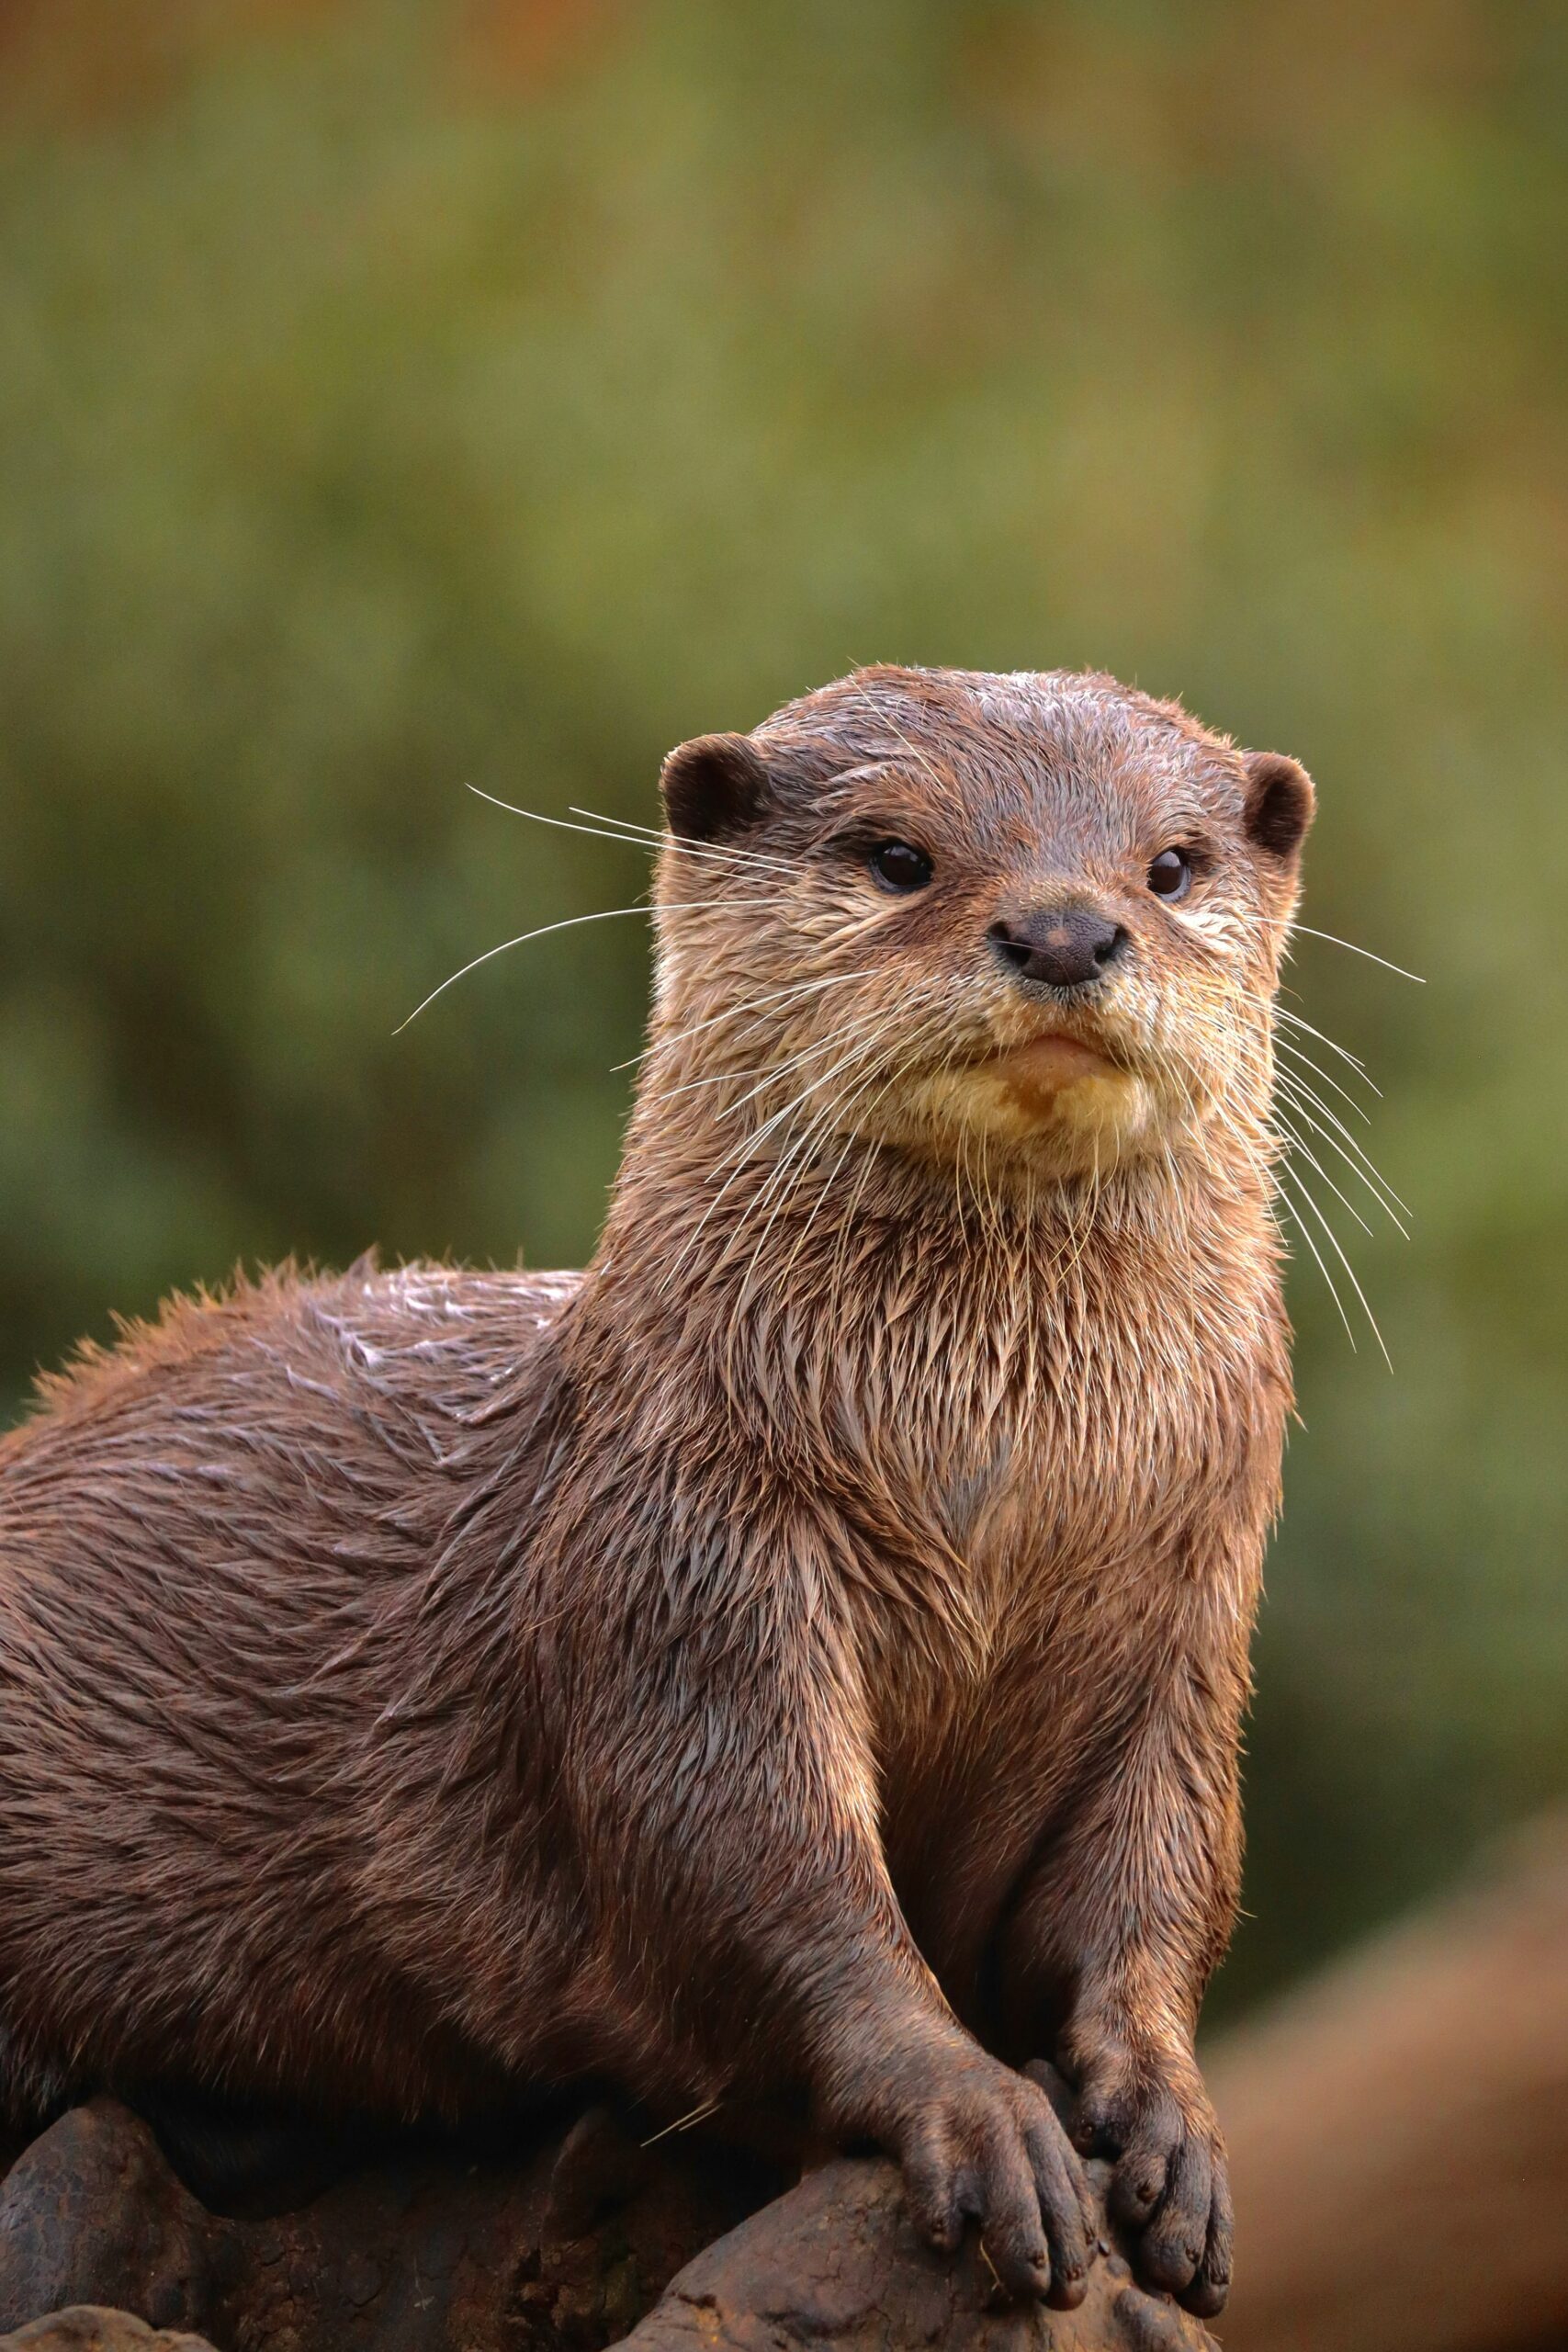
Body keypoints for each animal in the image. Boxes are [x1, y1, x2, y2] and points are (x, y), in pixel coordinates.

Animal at [0, 667, 1313, 2317]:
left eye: (1170, 865)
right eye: (897, 856)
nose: (1068, 930)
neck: (996, 1491)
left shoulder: (1185, 1625)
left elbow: (1153, 1883)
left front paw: (1167, 2119)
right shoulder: (683, 1560)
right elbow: (751, 1872)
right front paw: (977, 2110)